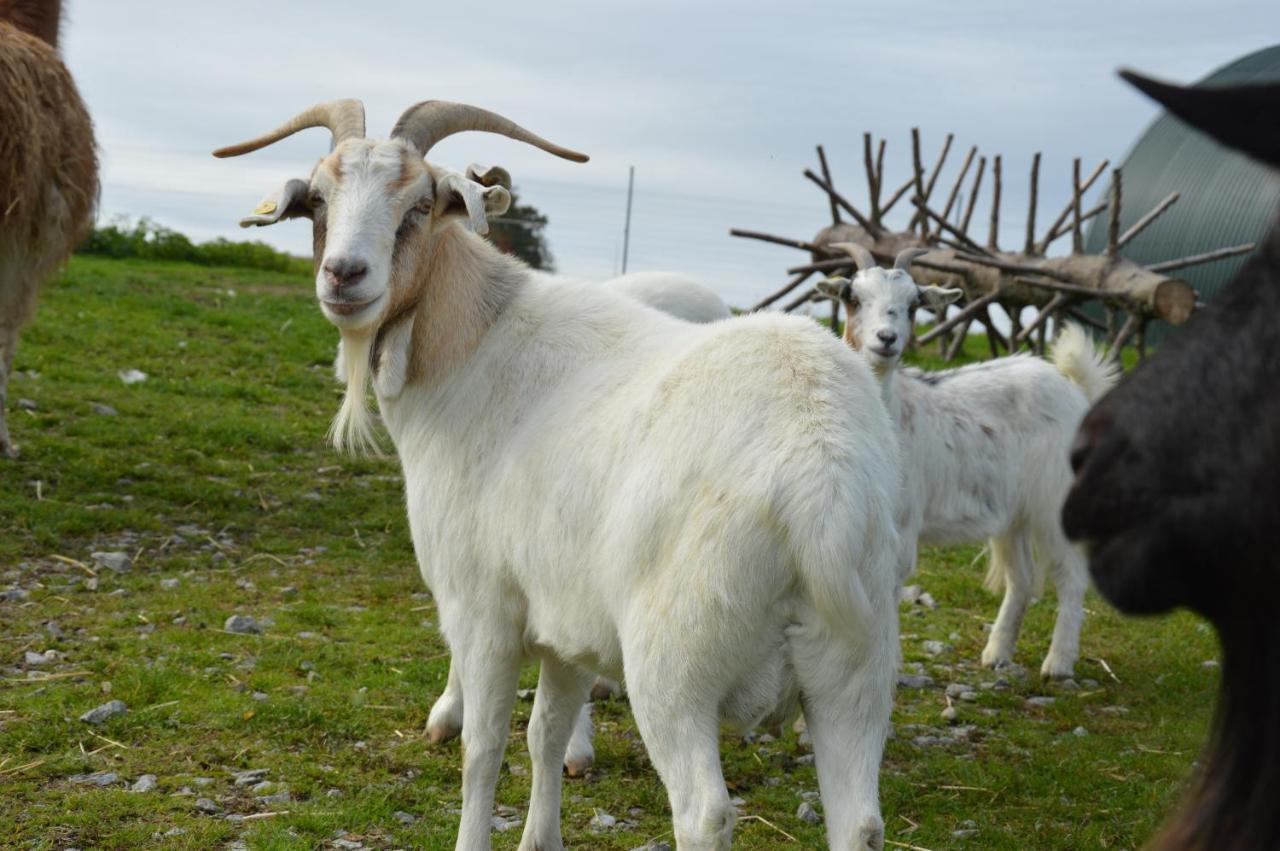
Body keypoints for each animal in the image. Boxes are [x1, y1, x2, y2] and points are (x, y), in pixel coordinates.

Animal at [215, 95, 906, 844]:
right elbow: (543, 734)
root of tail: (824, 485)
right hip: (856, 673)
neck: (472, 345)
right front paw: (540, 838)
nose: (344, 274)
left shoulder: (482, 607)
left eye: (420, 204)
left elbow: (484, 747)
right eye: (317, 199)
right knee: (860, 821)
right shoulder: (567, 624)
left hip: (677, 665)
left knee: (703, 813)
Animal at [814, 244, 1116, 675]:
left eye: (913, 305)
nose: (886, 338)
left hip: (1053, 500)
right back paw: (997, 654)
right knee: (1022, 578)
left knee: (1071, 577)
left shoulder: (903, 523)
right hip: (1013, 513)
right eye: (852, 297)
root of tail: (1075, 390)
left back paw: (1058, 663)